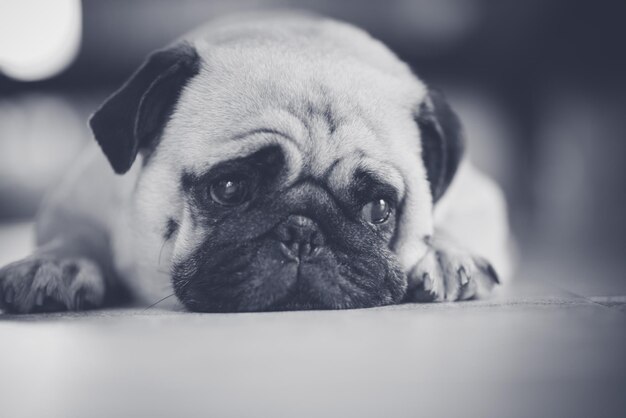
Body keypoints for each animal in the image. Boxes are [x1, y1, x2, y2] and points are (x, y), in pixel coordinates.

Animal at [0, 12, 512, 314]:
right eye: (228, 188)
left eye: (379, 208)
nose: (303, 232)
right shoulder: (81, 193)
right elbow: (74, 233)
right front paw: (55, 263)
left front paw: (444, 252)